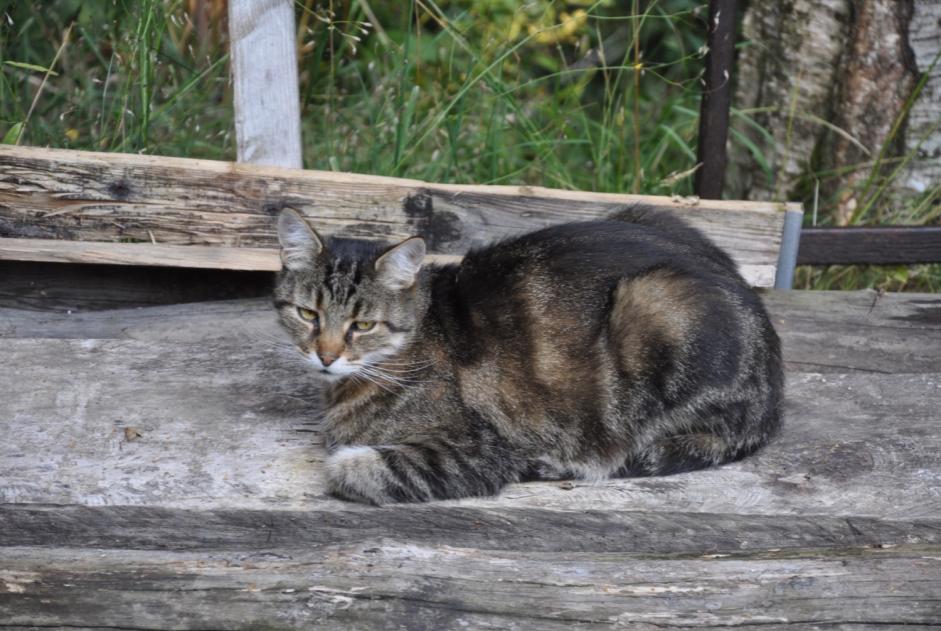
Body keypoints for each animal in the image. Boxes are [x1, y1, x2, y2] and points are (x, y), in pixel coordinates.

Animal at [274, 206, 784, 504]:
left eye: (362, 325)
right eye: (307, 314)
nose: (326, 356)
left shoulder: (475, 450)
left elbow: (348, 467)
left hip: (656, 306)